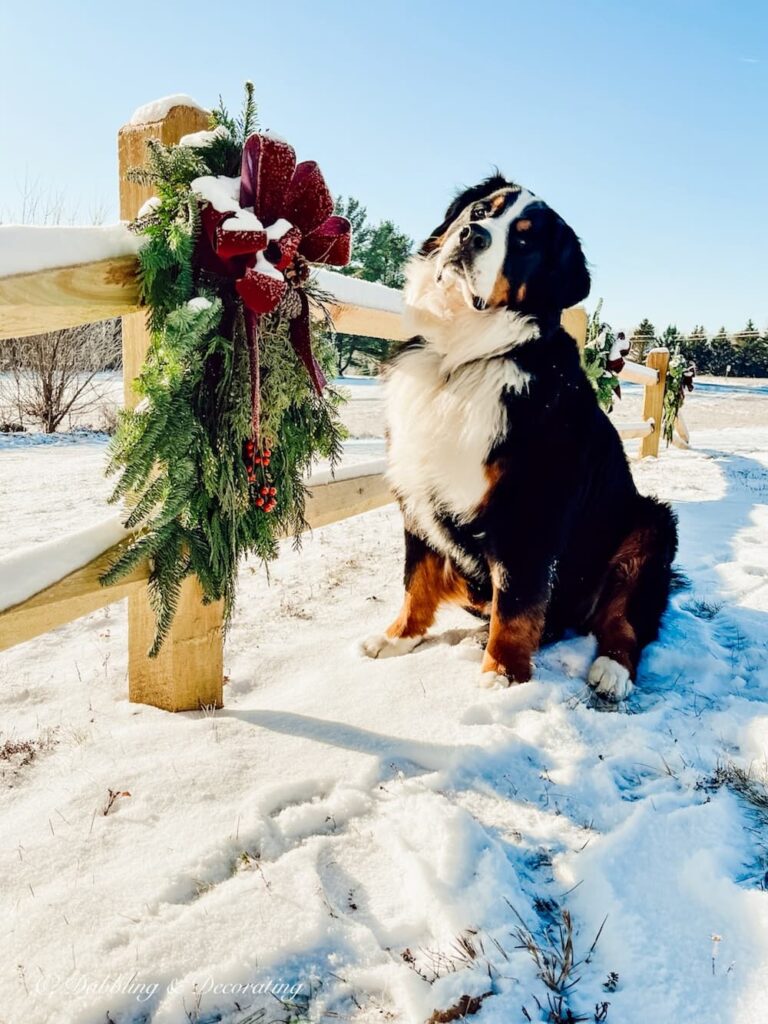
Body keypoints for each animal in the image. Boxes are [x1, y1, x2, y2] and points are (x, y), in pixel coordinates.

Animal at [364, 176, 675, 704]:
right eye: (480, 210)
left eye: (525, 242)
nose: (471, 235)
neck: (461, 359)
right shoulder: (416, 486)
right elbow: (415, 577)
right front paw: (398, 636)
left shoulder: (530, 507)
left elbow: (516, 600)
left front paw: (502, 675)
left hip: (651, 526)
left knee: (625, 620)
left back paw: (612, 670)